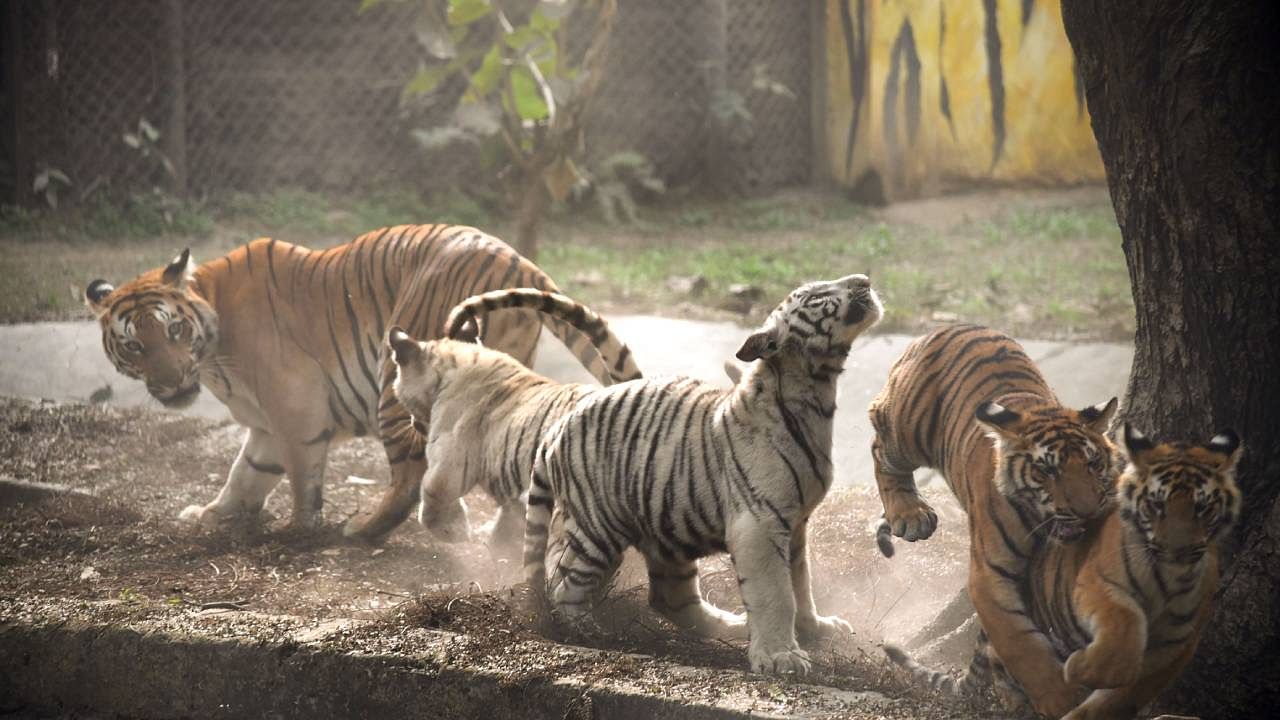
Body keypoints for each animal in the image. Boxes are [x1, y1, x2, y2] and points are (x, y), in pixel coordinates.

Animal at [81, 224, 629, 538]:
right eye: (134, 345)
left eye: (173, 330)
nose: (172, 382)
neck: (213, 348)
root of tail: (519, 259)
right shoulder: (264, 426)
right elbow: (246, 472)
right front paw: (214, 515)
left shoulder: (295, 407)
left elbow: (300, 474)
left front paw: (298, 528)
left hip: (393, 378)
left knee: (409, 477)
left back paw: (368, 530)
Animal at [524, 272, 885, 671]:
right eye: (816, 295)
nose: (864, 280)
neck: (817, 390)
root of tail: (554, 431)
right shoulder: (760, 522)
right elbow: (777, 593)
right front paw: (781, 657)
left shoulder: (796, 524)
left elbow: (801, 585)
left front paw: (815, 629)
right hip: (599, 527)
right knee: (563, 582)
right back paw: (590, 631)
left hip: (665, 533)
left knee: (669, 598)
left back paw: (734, 625)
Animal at [870, 325, 1121, 717]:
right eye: (1048, 471)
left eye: (1093, 464)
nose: (1087, 510)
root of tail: (948, 327)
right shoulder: (988, 576)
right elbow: (1021, 644)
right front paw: (1060, 701)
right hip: (907, 427)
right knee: (880, 443)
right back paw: (910, 515)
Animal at [885, 420, 1244, 717]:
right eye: (1156, 505)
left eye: (1203, 508)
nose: (1177, 550)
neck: (1165, 581)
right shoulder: (1096, 584)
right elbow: (1123, 625)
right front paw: (1077, 673)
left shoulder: (1177, 642)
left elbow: (1123, 695)